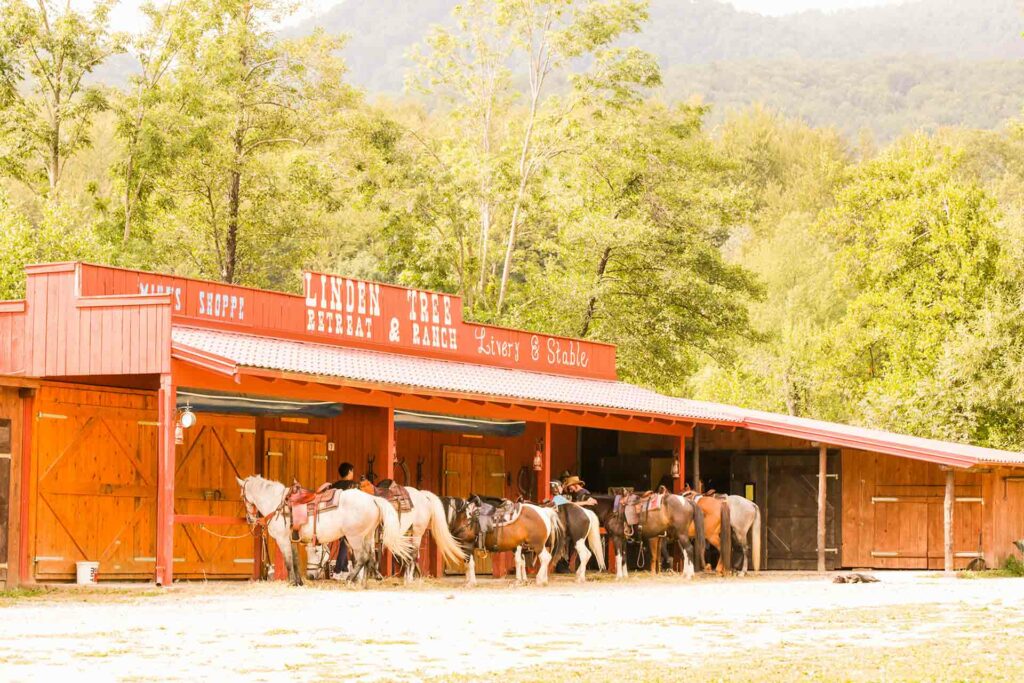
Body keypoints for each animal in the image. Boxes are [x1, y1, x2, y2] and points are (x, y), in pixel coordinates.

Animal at [237, 475, 413, 589]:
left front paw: (291, 582)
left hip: (354, 537)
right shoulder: (293, 540)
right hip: (367, 536)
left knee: (362, 557)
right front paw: (299, 582)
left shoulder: (283, 539)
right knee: (370, 557)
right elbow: (295, 560)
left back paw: (349, 580)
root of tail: (373, 499)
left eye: (242, 496)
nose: (250, 519)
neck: (278, 504)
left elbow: (288, 561)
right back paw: (363, 583)